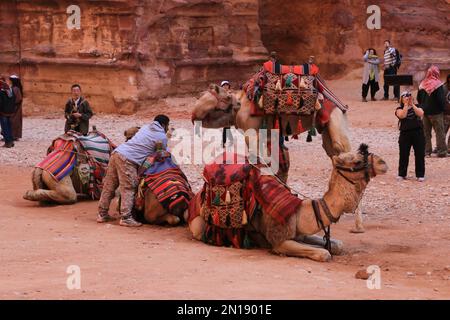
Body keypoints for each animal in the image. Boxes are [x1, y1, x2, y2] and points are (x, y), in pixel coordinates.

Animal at [188, 144, 388, 262]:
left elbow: (337, 245)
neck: (299, 211)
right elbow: (324, 253)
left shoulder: (300, 232)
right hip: (198, 225)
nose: (383, 162)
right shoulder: (280, 241)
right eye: (357, 161)